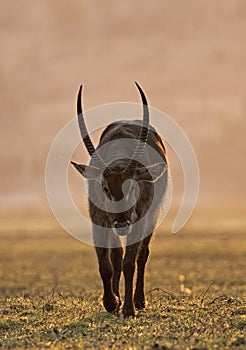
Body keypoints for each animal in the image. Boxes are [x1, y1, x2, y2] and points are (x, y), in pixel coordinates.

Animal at [71, 82, 167, 318]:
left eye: (131, 186)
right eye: (105, 187)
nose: (122, 223)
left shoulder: (139, 221)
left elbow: (129, 263)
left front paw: (129, 309)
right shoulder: (99, 220)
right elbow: (106, 263)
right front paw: (111, 302)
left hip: (151, 218)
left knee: (142, 254)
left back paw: (139, 300)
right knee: (117, 256)